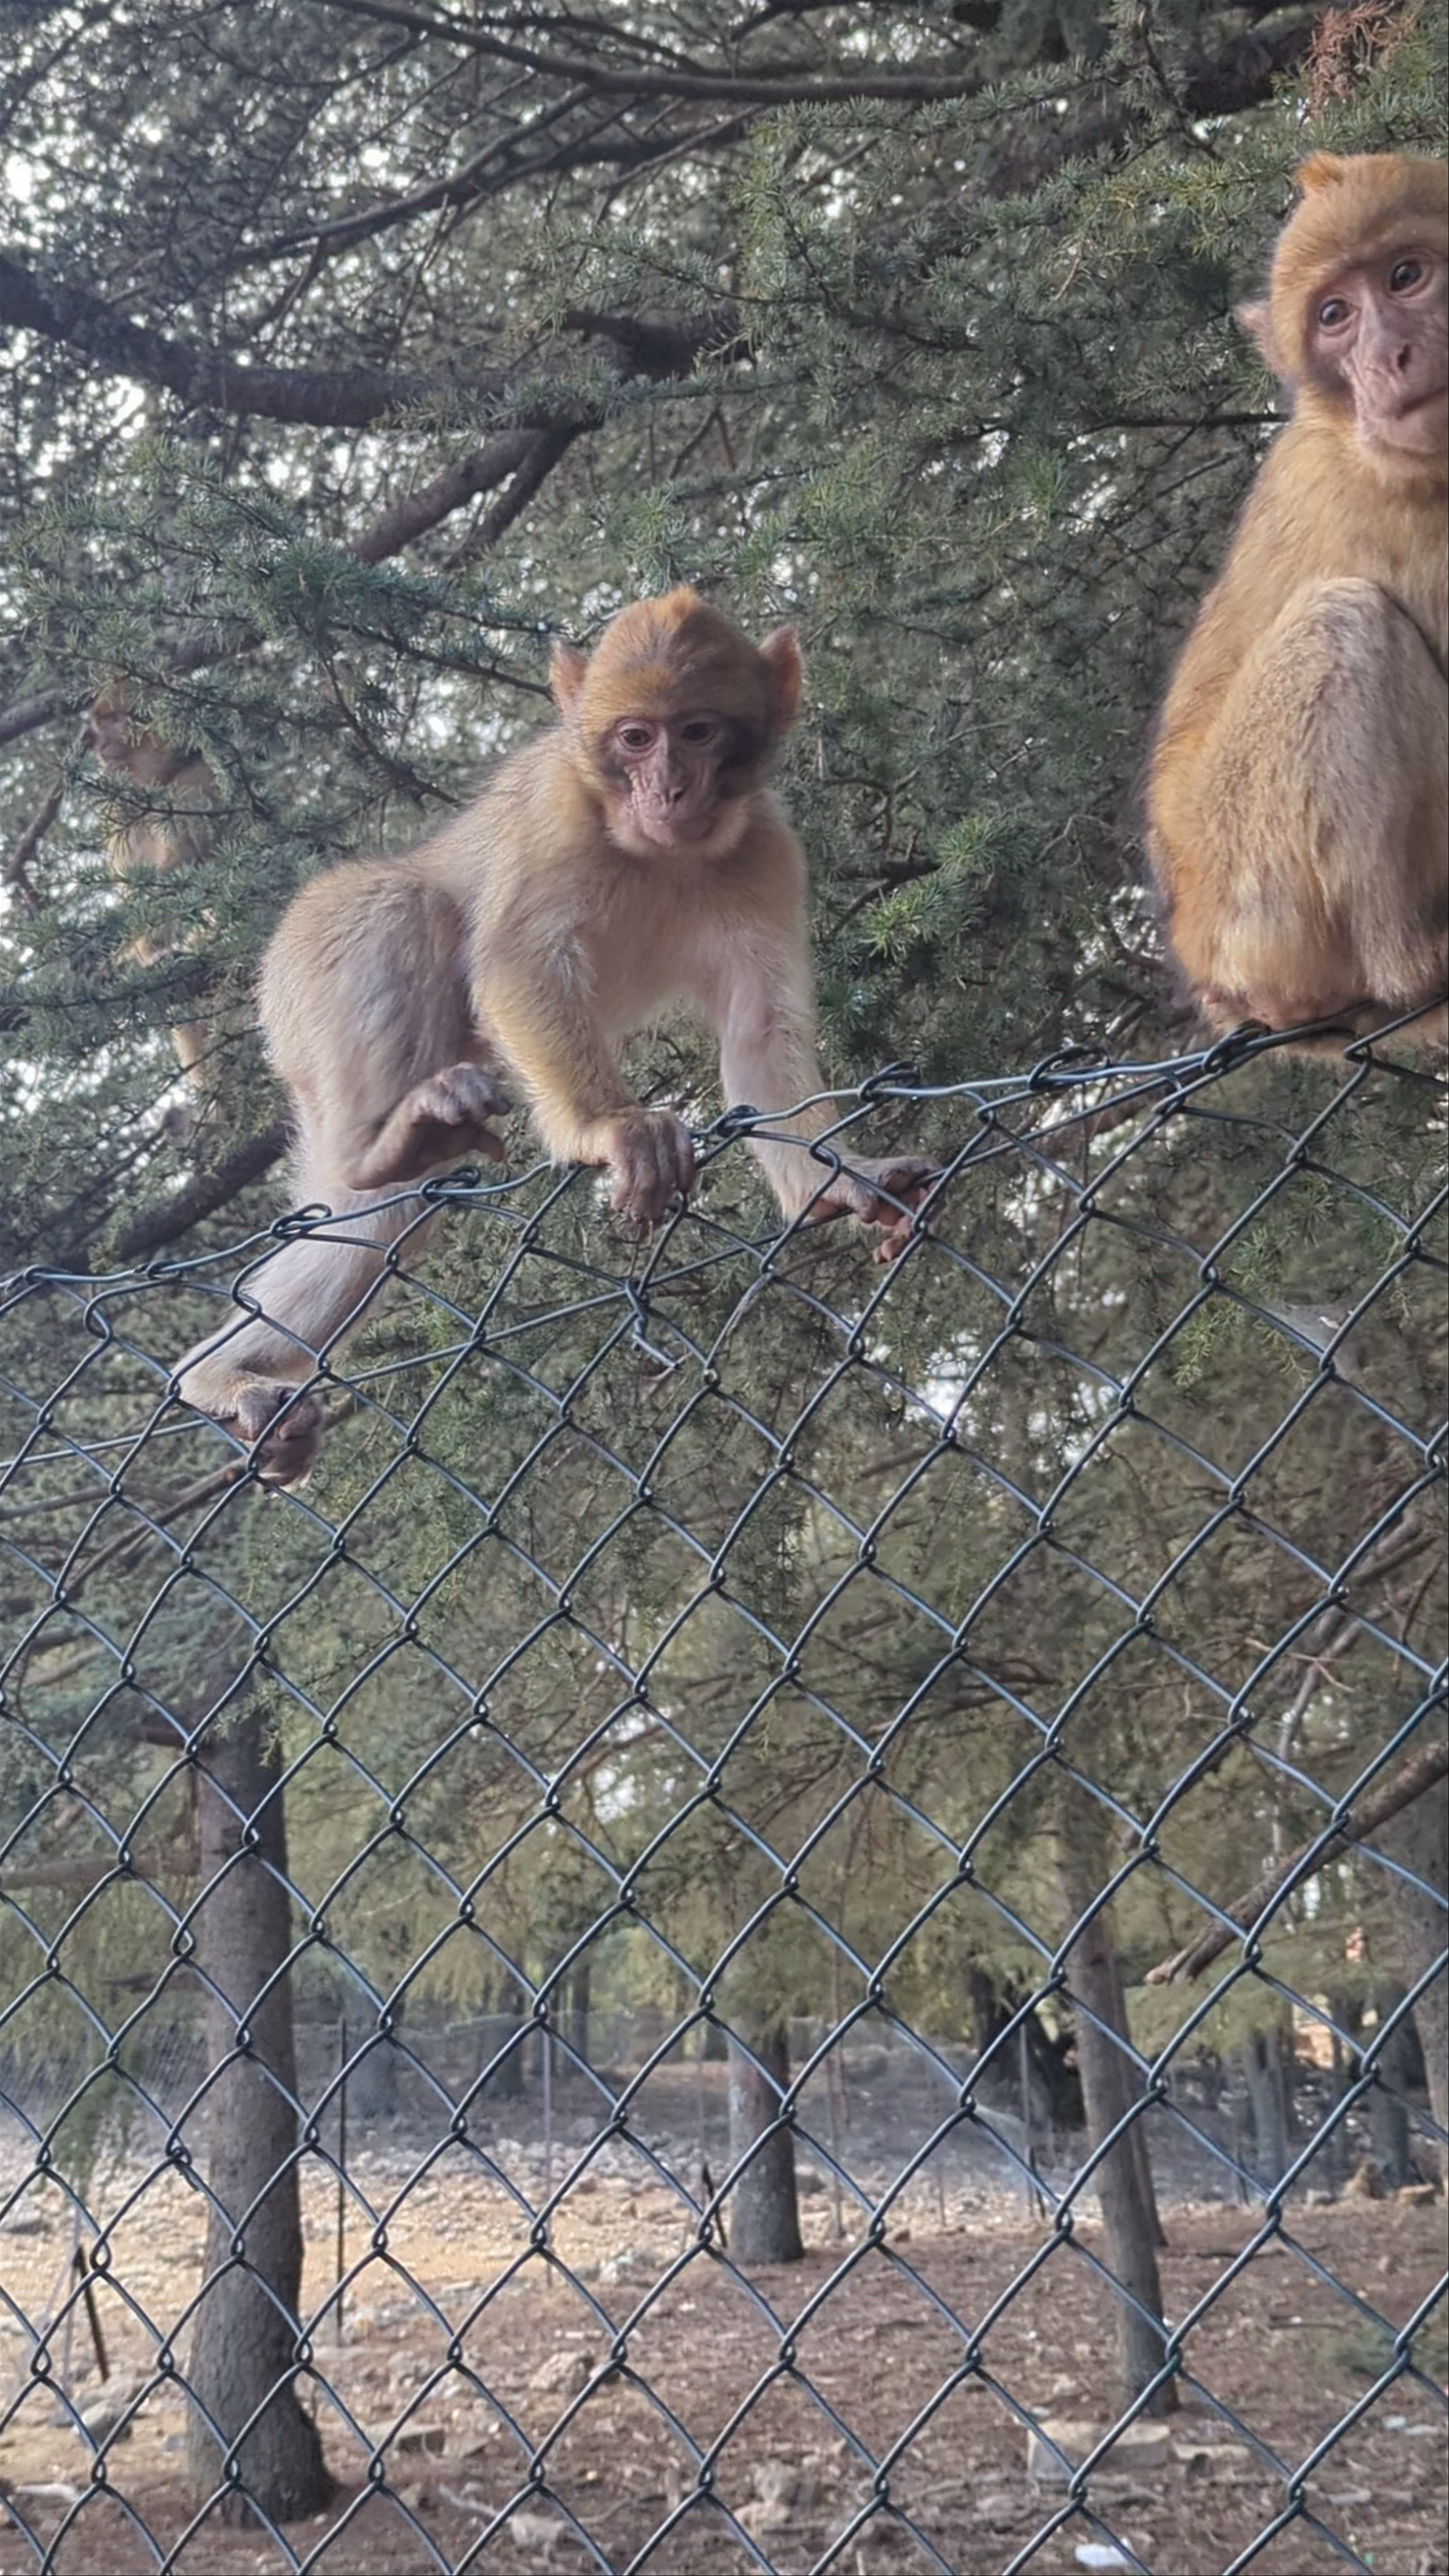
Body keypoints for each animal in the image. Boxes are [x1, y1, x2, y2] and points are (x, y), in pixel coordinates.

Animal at [90, 682, 221, 1094]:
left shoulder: (197, 779)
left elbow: (191, 870)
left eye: (115, 720)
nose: (99, 743)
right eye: (99, 725)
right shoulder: (118, 810)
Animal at [175, 589, 937, 1485]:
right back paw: (367, 1171)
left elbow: (759, 1035)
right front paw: (617, 1128)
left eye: (697, 732)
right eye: (636, 738)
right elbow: (516, 963)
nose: (669, 788)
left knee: (378, 1216)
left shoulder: (767, 849)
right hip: (311, 961)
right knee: (405, 919)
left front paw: (841, 1181)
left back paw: (232, 1369)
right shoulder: (557, 809)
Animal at [1146, 152, 1448, 1047]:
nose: (1391, 357)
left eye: (1407, 275)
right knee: (1344, 622)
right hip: (1253, 891)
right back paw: (1411, 957)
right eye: (1335, 317)